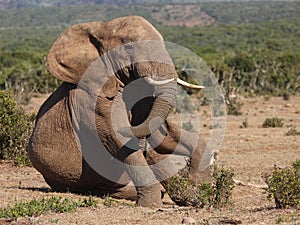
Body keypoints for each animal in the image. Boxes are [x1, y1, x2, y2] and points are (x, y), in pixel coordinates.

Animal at [28, 14, 209, 207]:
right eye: (129, 46)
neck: (102, 26)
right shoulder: (91, 100)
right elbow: (117, 138)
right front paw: (150, 206)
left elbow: (159, 135)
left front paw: (201, 188)